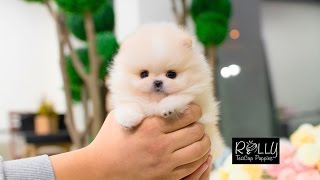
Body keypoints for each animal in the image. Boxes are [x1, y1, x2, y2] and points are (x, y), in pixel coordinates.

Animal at [109, 22, 224, 159]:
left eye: (171, 74)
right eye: (143, 74)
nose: (157, 82)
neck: (154, 101)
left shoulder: (194, 94)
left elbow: (179, 96)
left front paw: (167, 108)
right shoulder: (127, 96)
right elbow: (130, 104)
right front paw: (128, 119)